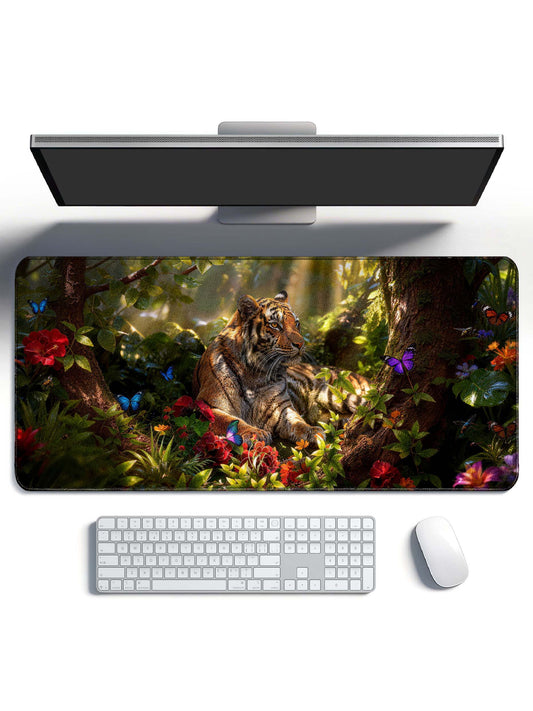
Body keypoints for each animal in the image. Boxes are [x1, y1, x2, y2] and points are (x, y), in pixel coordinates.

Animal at [192, 290, 369, 446]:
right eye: (275, 325)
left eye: (296, 323)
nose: (301, 344)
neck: (254, 372)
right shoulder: (208, 406)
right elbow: (230, 421)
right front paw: (255, 433)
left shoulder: (282, 408)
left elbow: (297, 421)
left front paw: (312, 431)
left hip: (337, 394)